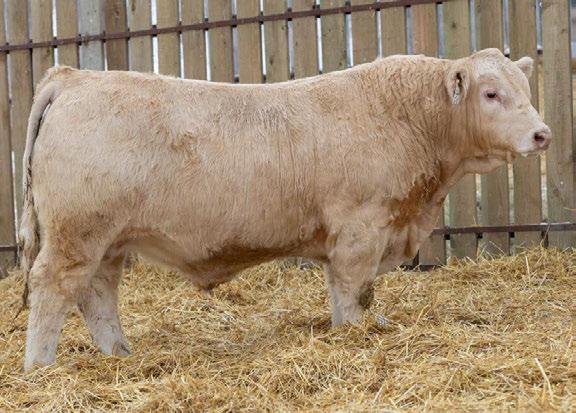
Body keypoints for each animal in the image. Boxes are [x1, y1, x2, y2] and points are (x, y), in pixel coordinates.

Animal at [19, 48, 551, 370]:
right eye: (491, 93)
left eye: (525, 91)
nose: (541, 133)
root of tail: (73, 77)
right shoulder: (360, 229)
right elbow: (354, 293)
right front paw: (353, 337)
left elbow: (347, 292)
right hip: (76, 233)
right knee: (53, 288)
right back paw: (40, 367)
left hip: (108, 240)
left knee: (97, 295)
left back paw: (120, 356)